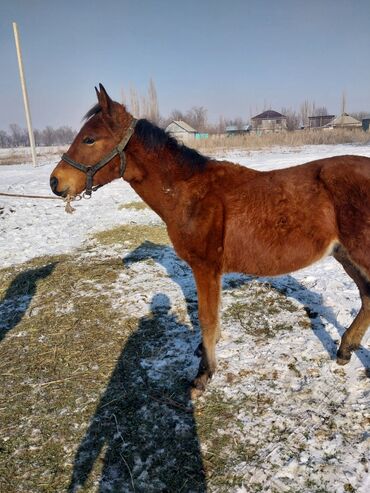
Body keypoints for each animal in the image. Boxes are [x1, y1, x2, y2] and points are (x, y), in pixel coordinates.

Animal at [49, 86, 370, 396]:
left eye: (90, 139)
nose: (55, 182)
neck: (190, 194)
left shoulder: (206, 268)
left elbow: (207, 318)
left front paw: (204, 375)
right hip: (345, 255)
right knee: (367, 296)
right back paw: (344, 350)